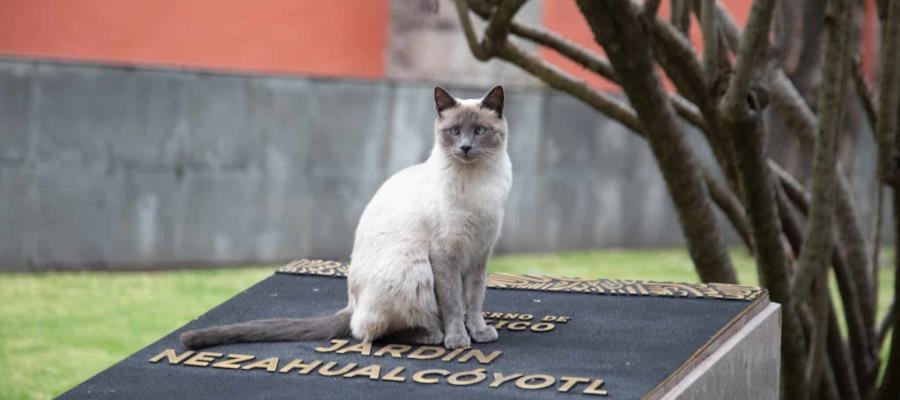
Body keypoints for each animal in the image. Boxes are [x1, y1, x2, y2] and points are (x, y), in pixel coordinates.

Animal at [179, 85, 510, 350]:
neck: (477, 182)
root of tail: (351, 304)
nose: (465, 147)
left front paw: (479, 332)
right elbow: (453, 303)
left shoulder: (480, 254)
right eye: (455, 131)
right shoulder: (445, 256)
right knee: (367, 331)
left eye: (479, 131)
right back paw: (432, 335)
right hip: (414, 271)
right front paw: (459, 339)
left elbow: (475, 299)